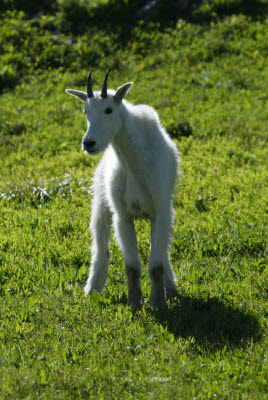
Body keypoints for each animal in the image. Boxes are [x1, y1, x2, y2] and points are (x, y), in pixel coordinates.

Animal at [65, 68, 179, 310]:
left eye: (108, 110)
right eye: (86, 110)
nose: (88, 143)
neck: (134, 164)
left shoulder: (161, 213)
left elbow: (156, 264)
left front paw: (157, 303)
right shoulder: (123, 216)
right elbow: (132, 266)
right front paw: (135, 303)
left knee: (164, 252)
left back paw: (171, 290)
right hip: (101, 204)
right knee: (101, 250)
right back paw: (91, 292)